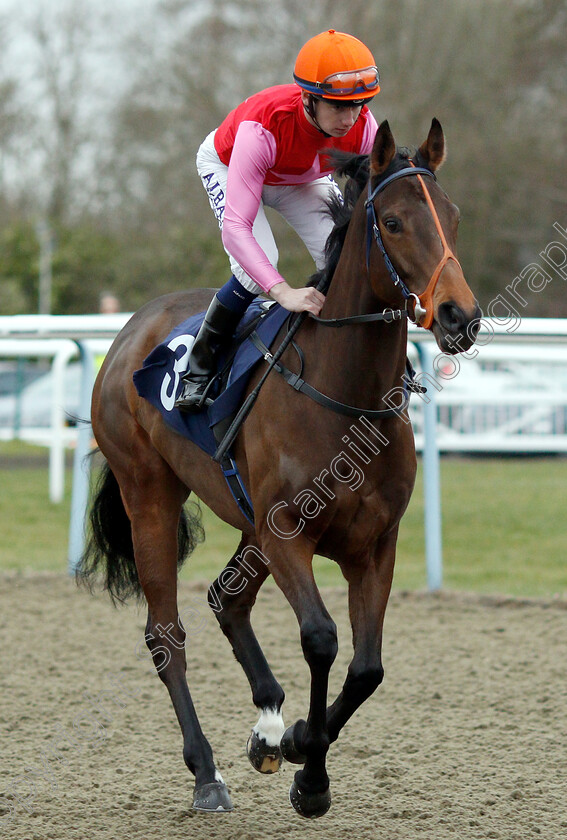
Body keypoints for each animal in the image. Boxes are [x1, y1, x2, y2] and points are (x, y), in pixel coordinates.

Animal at [77, 121, 482, 816]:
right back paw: (207, 772)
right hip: (150, 493)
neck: (345, 393)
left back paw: (267, 723)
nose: (461, 316)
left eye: (452, 216)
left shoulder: (375, 543)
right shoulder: (288, 531)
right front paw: (310, 774)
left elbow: (367, 668)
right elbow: (321, 639)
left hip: (248, 521)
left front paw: (291, 740)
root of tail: (130, 329)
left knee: (226, 599)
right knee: (166, 633)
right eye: (395, 223)